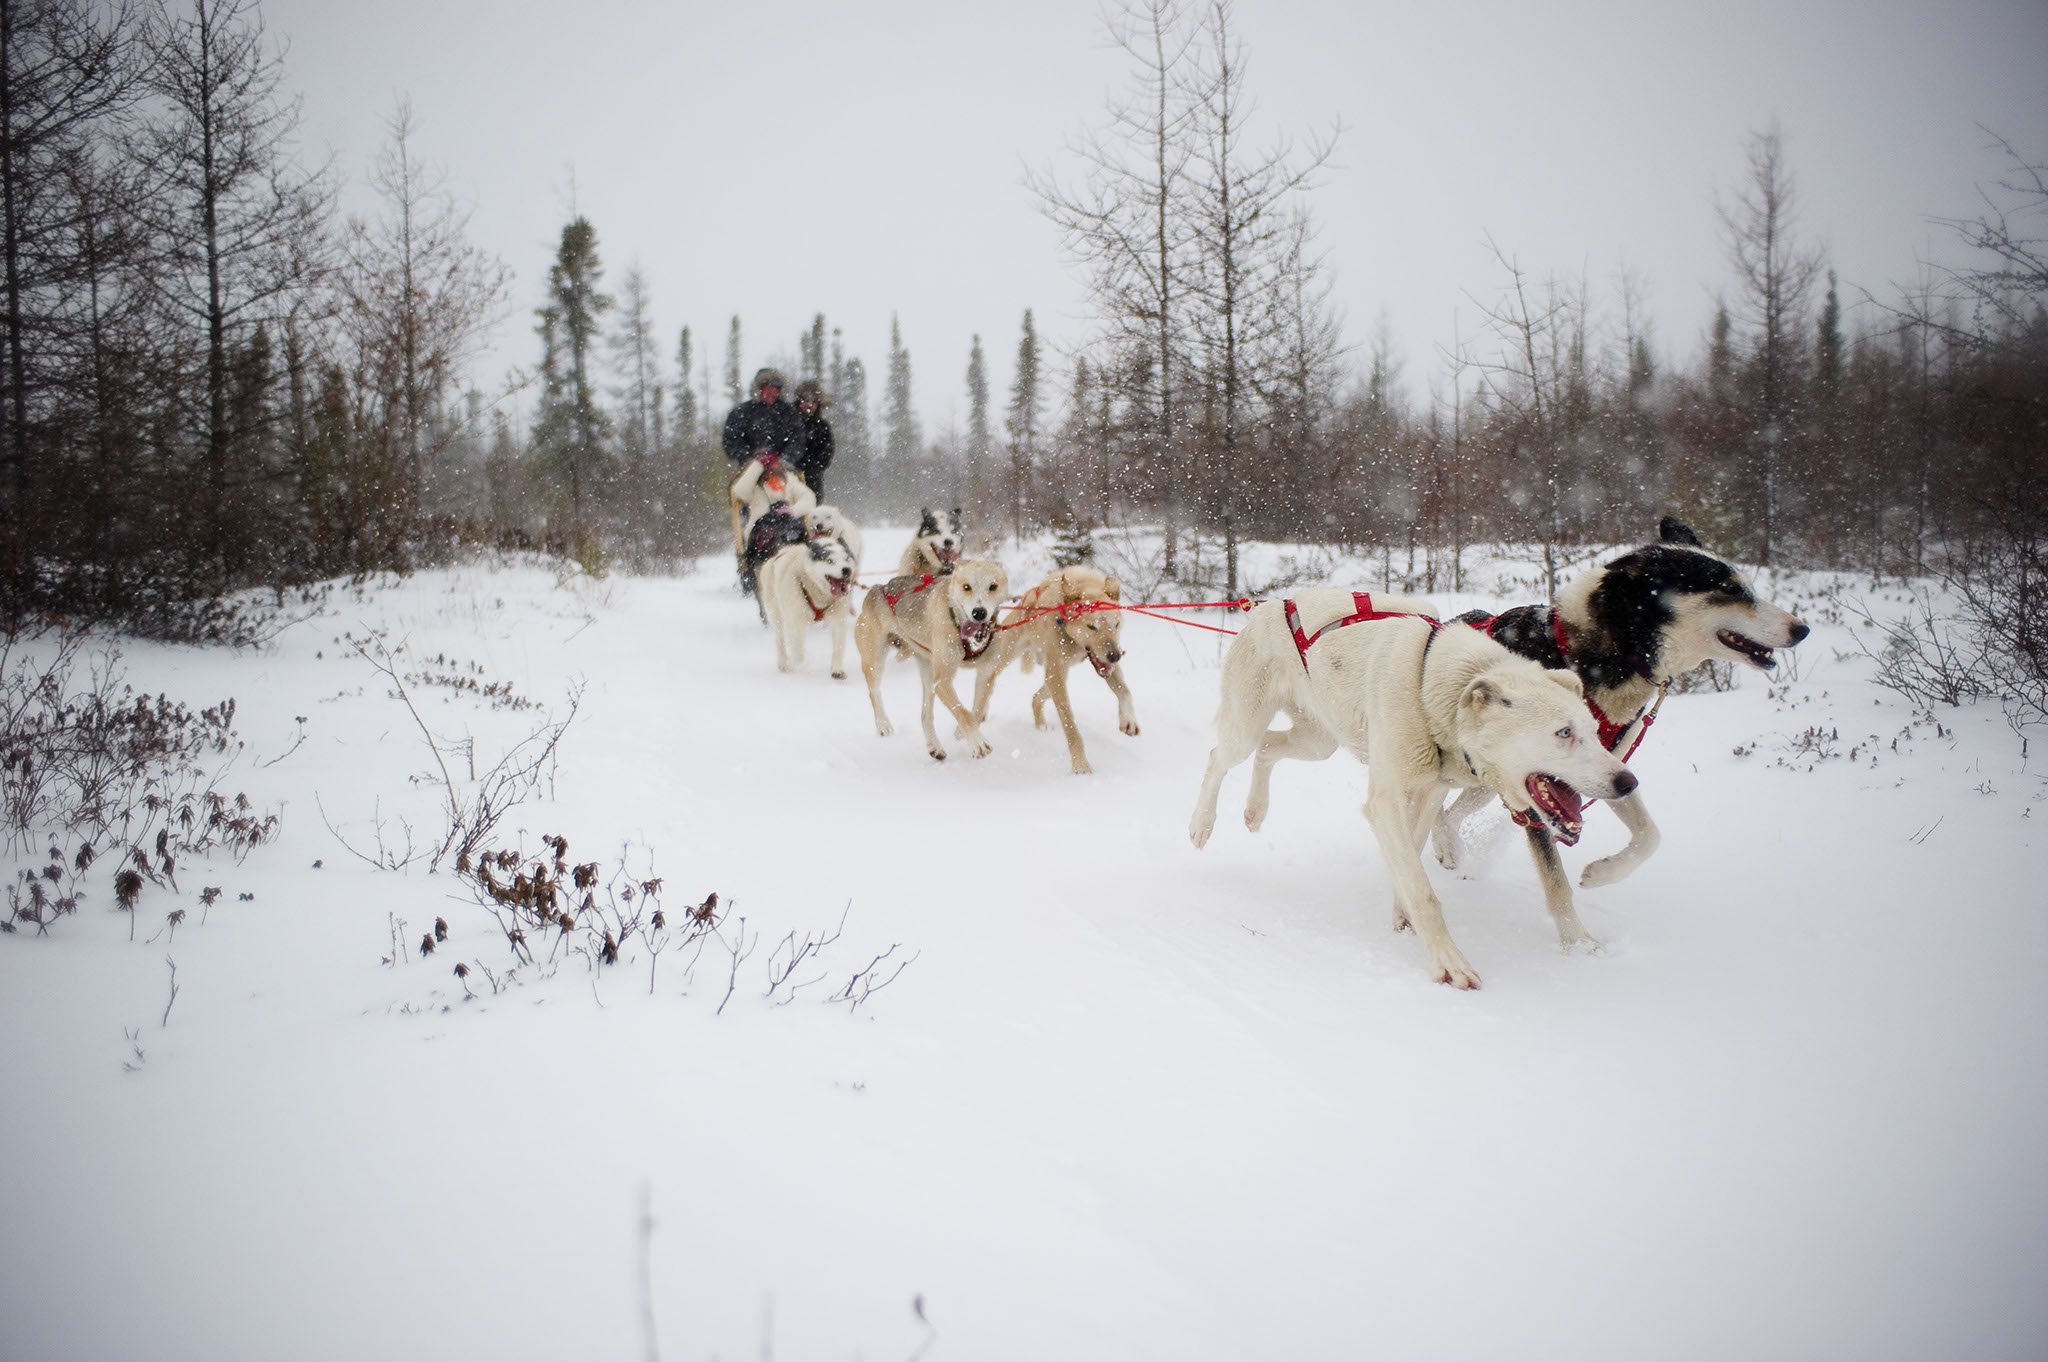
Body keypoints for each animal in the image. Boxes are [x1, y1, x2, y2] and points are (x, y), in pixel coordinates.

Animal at [761, 532, 856, 675]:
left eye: (846, 558)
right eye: (829, 560)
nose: (847, 570)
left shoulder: (838, 619)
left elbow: (838, 646)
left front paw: (837, 669)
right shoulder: (794, 622)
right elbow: (798, 655)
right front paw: (792, 663)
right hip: (776, 615)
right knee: (780, 640)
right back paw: (783, 662)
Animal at [851, 557, 1011, 765]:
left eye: (993, 586)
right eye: (966, 587)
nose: (979, 612)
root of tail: (881, 587)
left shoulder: (986, 674)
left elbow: (976, 711)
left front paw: (962, 732)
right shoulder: (942, 681)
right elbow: (964, 713)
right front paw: (977, 743)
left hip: (928, 672)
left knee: (925, 715)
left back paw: (935, 747)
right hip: (876, 661)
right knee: (874, 692)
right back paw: (883, 724)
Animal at [970, 561, 1138, 774]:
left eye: (1115, 624)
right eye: (1092, 627)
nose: (1115, 655)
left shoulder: (1099, 663)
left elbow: (1124, 690)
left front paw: (1129, 720)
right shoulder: (1058, 671)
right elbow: (1070, 724)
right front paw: (1080, 765)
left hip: (1055, 675)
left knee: (1036, 697)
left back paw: (1040, 724)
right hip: (1010, 659)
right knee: (986, 682)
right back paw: (976, 714)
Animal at [1196, 589, 1638, 995]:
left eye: (1594, 731)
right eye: (1564, 732)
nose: (1628, 782)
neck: (1428, 686)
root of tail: (1273, 603)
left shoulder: (1429, 792)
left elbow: (1412, 854)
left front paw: (1401, 912)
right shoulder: (1386, 801)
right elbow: (1422, 889)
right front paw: (1448, 961)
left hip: (1318, 741)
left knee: (1268, 748)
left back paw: (1255, 810)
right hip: (1247, 726)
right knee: (1220, 755)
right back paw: (1201, 824)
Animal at [1433, 516, 1818, 929]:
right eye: (1729, 589)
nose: (1802, 629)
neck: (1602, 655)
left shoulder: (1608, 765)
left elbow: (1650, 834)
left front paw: (1603, 873)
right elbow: (1555, 879)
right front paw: (1577, 943)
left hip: (1488, 785)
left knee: (1450, 814)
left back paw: (1449, 848)